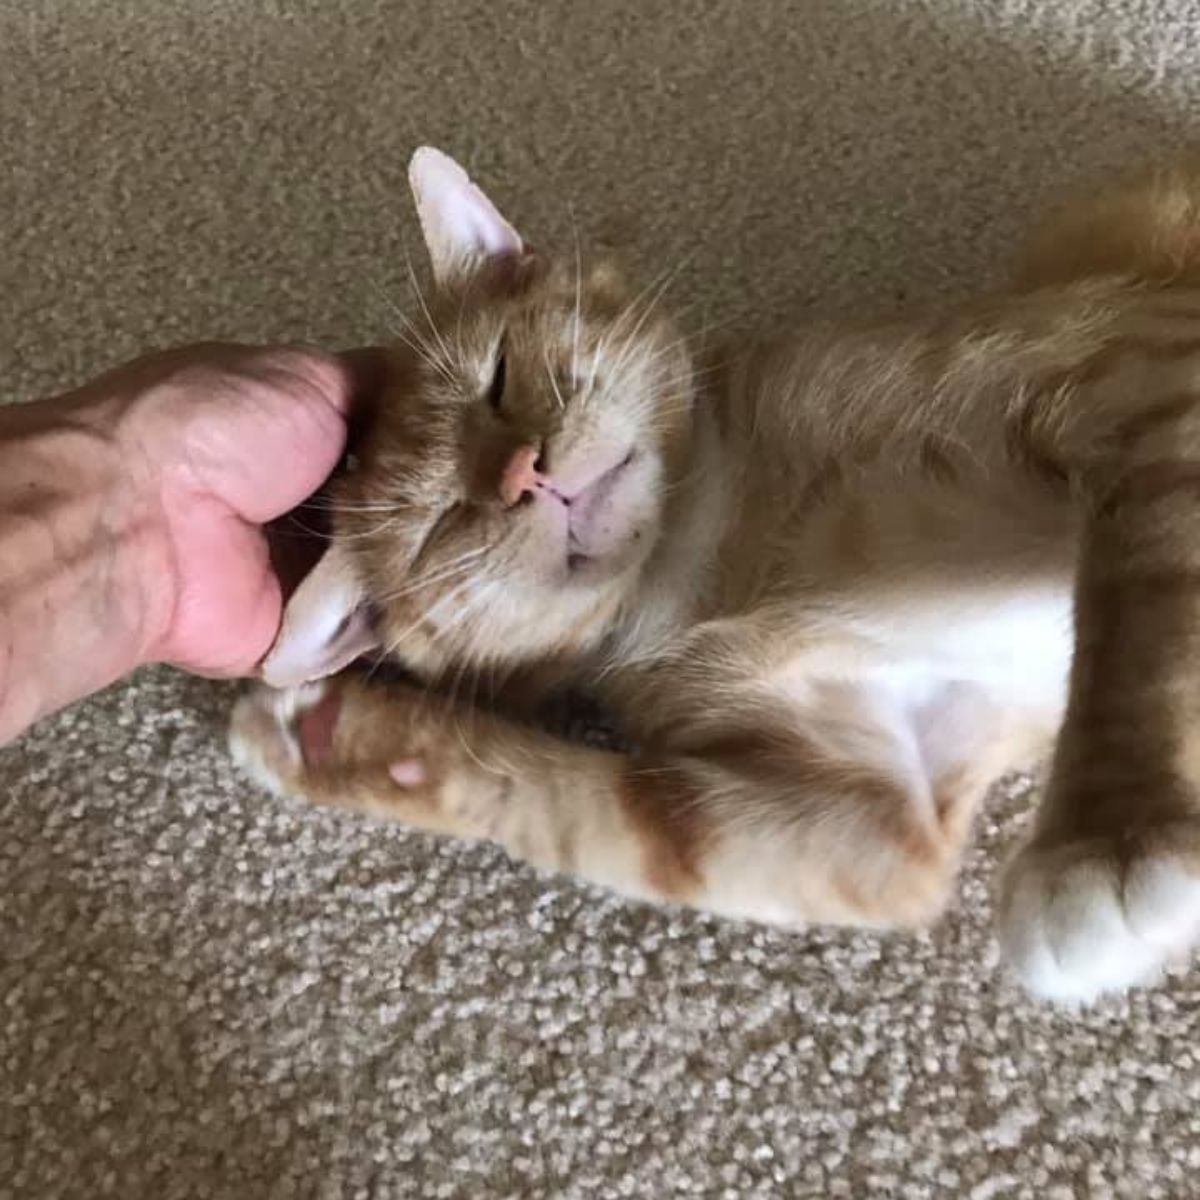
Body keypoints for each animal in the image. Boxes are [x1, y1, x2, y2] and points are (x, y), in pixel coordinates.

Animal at [226, 147, 1200, 1003]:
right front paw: (344, 739)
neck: (715, 550)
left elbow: (1146, 613)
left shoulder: (1132, 373)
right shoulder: (874, 827)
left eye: (497, 378)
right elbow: (576, 803)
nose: (523, 476)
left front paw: (1108, 849)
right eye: (439, 522)